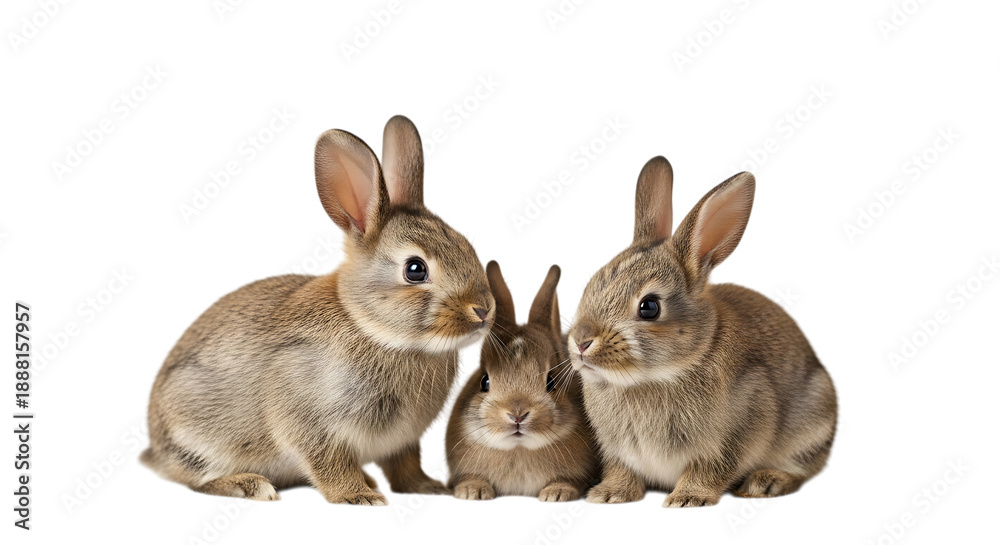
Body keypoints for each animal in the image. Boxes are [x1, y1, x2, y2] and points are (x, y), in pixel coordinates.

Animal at [141, 115, 495, 505]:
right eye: (415, 269)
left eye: (465, 245)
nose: (483, 310)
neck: (372, 327)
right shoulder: (310, 421)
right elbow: (328, 462)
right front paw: (359, 497)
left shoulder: (402, 441)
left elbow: (405, 465)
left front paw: (427, 487)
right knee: (198, 478)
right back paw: (250, 485)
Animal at [446, 261, 598, 502]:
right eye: (484, 381)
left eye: (551, 382)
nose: (517, 414)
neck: (518, 449)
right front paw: (473, 491)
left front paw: (556, 494)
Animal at [567, 156, 837, 508]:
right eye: (591, 285)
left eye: (649, 307)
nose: (581, 342)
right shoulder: (618, 451)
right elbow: (621, 469)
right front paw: (609, 494)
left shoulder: (737, 428)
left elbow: (711, 468)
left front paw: (687, 498)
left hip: (812, 423)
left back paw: (764, 482)